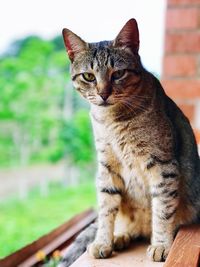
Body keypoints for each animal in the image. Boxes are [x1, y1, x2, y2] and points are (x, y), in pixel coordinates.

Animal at [59, 18, 200, 266]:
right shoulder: (107, 167)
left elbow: (163, 210)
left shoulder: (163, 166)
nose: (103, 93)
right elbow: (106, 209)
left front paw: (162, 245)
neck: (112, 120)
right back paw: (119, 236)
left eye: (118, 73)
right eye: (89, 76)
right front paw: (104, 241)